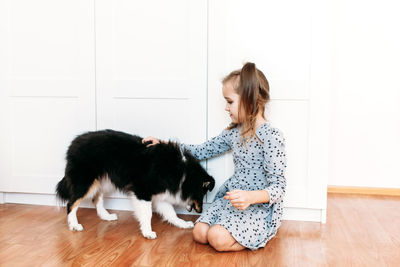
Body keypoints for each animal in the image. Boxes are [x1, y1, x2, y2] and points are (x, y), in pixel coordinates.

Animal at [55, 129, 216, 240]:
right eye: (203, 193)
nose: (201, 211)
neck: (181, 172)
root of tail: (73, 144)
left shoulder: (160, 194)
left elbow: (170, 212)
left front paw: (183, 224)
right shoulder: (142, 191)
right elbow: (147, 213)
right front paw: (148, 233)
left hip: (103, 180)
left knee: (96, 199)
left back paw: (107, 217)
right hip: (85, 182)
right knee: (71, 204)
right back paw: (74, 225)